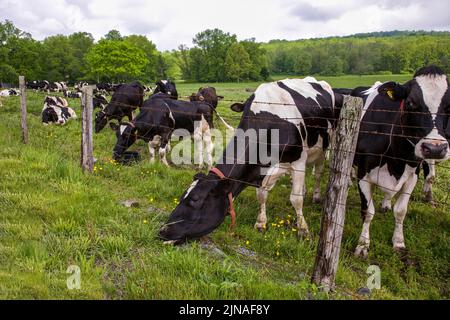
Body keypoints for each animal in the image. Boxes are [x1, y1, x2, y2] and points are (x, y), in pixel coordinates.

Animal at [159, 77, 344, 242]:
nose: (163, 230)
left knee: (318, 172)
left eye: (195, 200)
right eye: (182, 196)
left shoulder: (297, 161)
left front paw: (303, 231)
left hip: (325, 144)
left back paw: (316, 195)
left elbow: (296, 199)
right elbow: (261, 195)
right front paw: (261, 223)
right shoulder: (260, 170)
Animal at [352, 65, 450, 258]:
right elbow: (368, 211)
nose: (435, 148)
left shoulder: (412, 175)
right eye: (411, 103)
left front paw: (398, 242)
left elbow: (401, 211)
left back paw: (386, 204)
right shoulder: (363, 174)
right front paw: (363, 245)